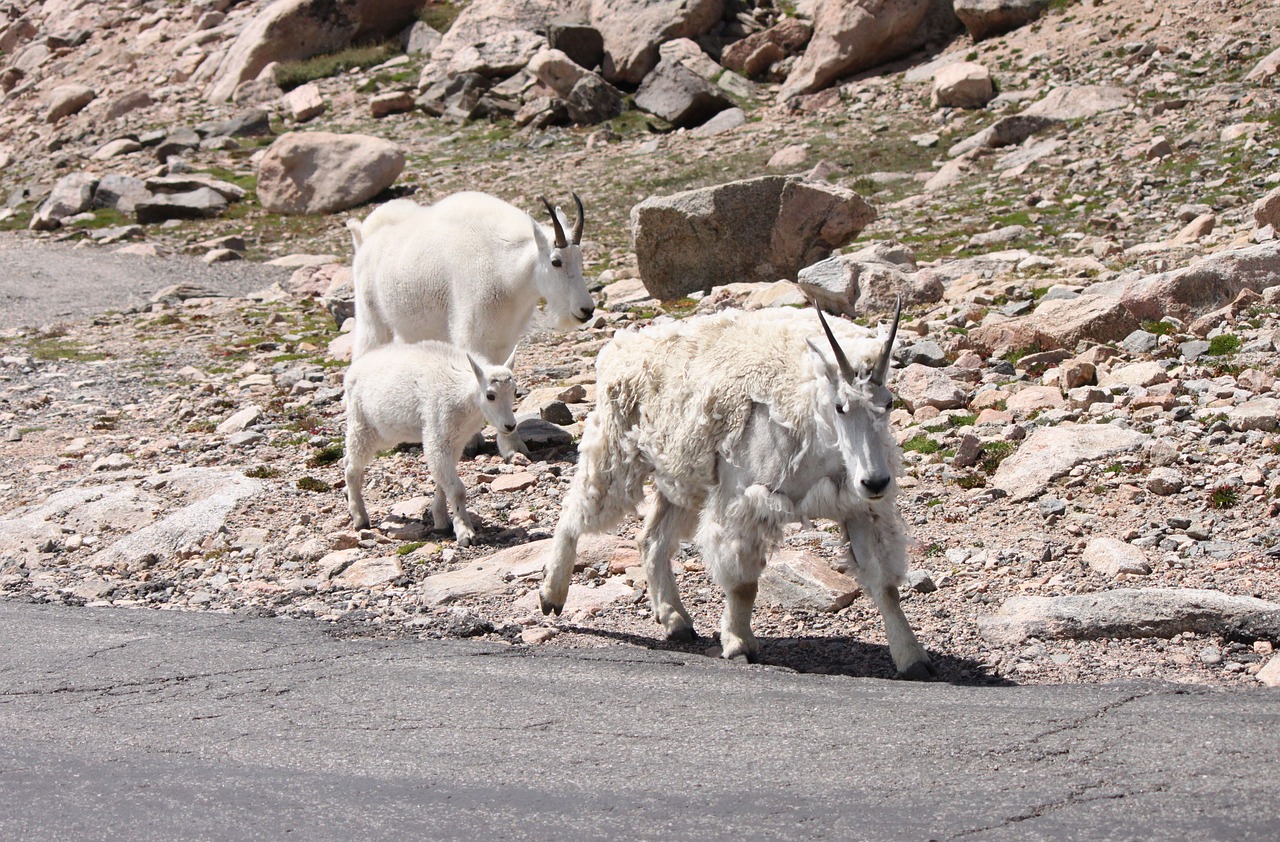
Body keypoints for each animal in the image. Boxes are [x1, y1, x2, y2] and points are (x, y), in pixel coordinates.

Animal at [345, 190, 593, 455]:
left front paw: (512, 446)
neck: (507, 272)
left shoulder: (503, 339)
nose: (586, 310)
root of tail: (364, 239)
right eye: (556, 261)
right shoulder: (471, 334)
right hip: (371, 316)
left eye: (580, 259)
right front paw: (473, 442)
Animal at [345, 337, 519, 547]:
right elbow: (457, 490)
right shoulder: (437, 435)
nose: (510, 426)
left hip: (383, 433)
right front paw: (465, 532)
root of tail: (353, 369)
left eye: (515, 392)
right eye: (490, 395)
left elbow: (443, 482)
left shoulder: (455, 441)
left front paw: (441, 520)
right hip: (362, 424)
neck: (464, 396)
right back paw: (359, 517)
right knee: (351, 467)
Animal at [535, 301, 936, 675]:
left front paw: (913, 659)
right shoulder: (745, 501)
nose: (876, 481)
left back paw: (675, 621)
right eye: (840, 406)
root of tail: (619, 348)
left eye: (889, 402)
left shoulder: (857, 506)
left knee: (652, 539)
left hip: (683, 476)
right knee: (577, 511)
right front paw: (740, 644)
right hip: (616, 449)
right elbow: (743, 585)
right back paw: (551, 594)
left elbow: (884, 585)